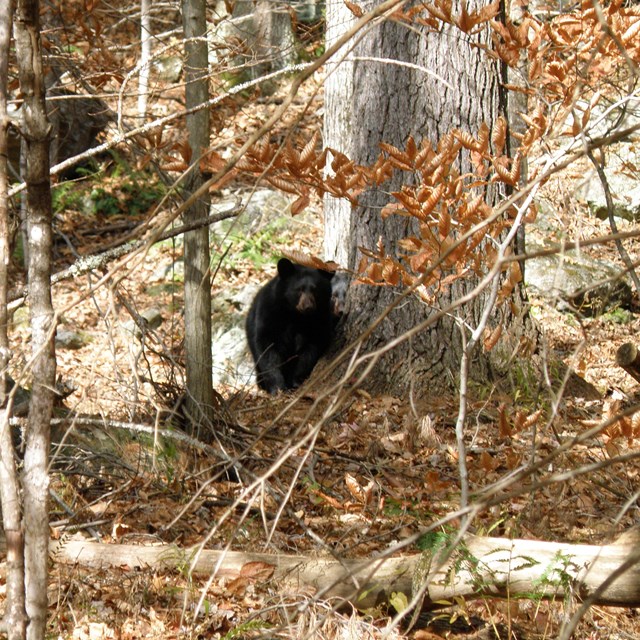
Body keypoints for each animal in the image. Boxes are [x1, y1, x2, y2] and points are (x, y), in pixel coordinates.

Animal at [246, 258, 332, 392]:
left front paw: (295, 381)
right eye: (299, 289)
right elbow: (267, 348)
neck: (295, 315)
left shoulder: (319, 320)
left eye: (316, 290)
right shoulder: (269, 313)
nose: (308, 307)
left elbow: (310, 350)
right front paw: (277, 387)